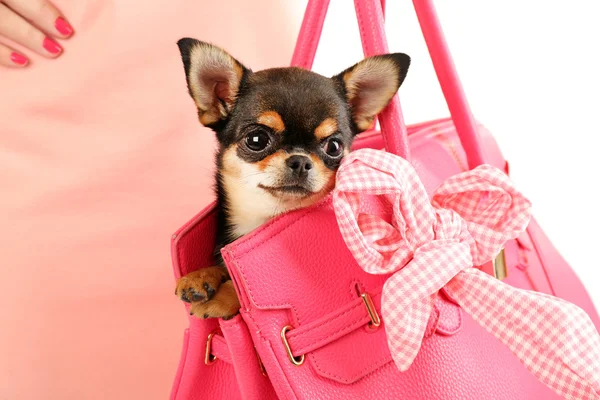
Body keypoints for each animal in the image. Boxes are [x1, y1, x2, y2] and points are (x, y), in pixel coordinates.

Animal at [173, 39, 408, 320]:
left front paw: (224, 294)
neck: (265, 216)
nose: (300, 161)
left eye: (334, 146)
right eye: (256, 140)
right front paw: (200, 276)